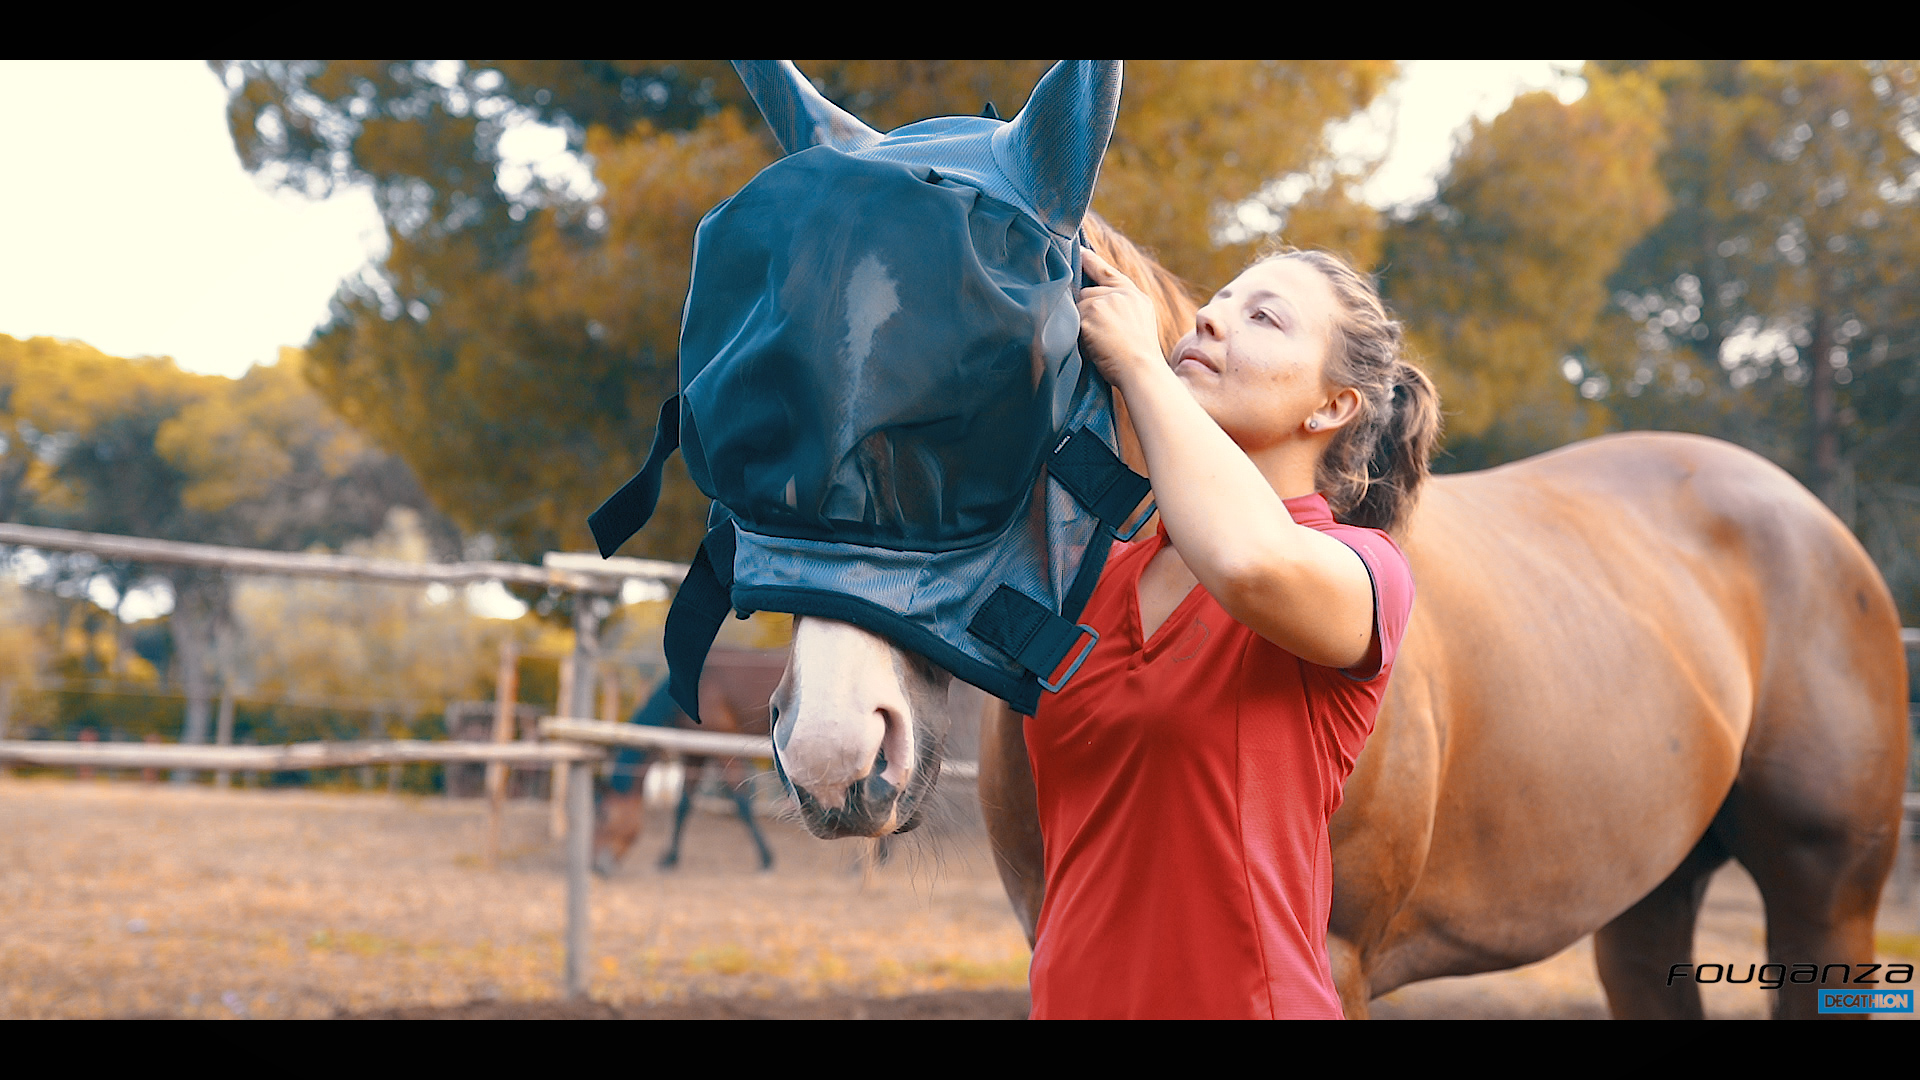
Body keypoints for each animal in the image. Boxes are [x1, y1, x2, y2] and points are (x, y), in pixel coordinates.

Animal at [593, 646, 786, 874]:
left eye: (604, 815)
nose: (597, 866)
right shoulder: (694, 754)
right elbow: (683, 804)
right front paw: (670, 858)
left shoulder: (723, 750)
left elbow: (741, 802)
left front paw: (766, 858)